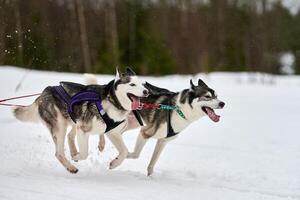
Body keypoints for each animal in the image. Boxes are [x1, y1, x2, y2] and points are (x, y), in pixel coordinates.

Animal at [12, 67, 149, 173]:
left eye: (143, 84)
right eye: (132, 84)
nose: (146, 91)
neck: (113, 103)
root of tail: (44, 92)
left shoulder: (112, 132)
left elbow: (124, 151)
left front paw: (114, 163)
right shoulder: (83, 130)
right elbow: (84, 153)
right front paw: (77, 155)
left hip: (73, 121)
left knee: (69, 136)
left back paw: (73, 152)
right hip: (60, 126)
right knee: (59, 153)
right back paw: (71, 167)